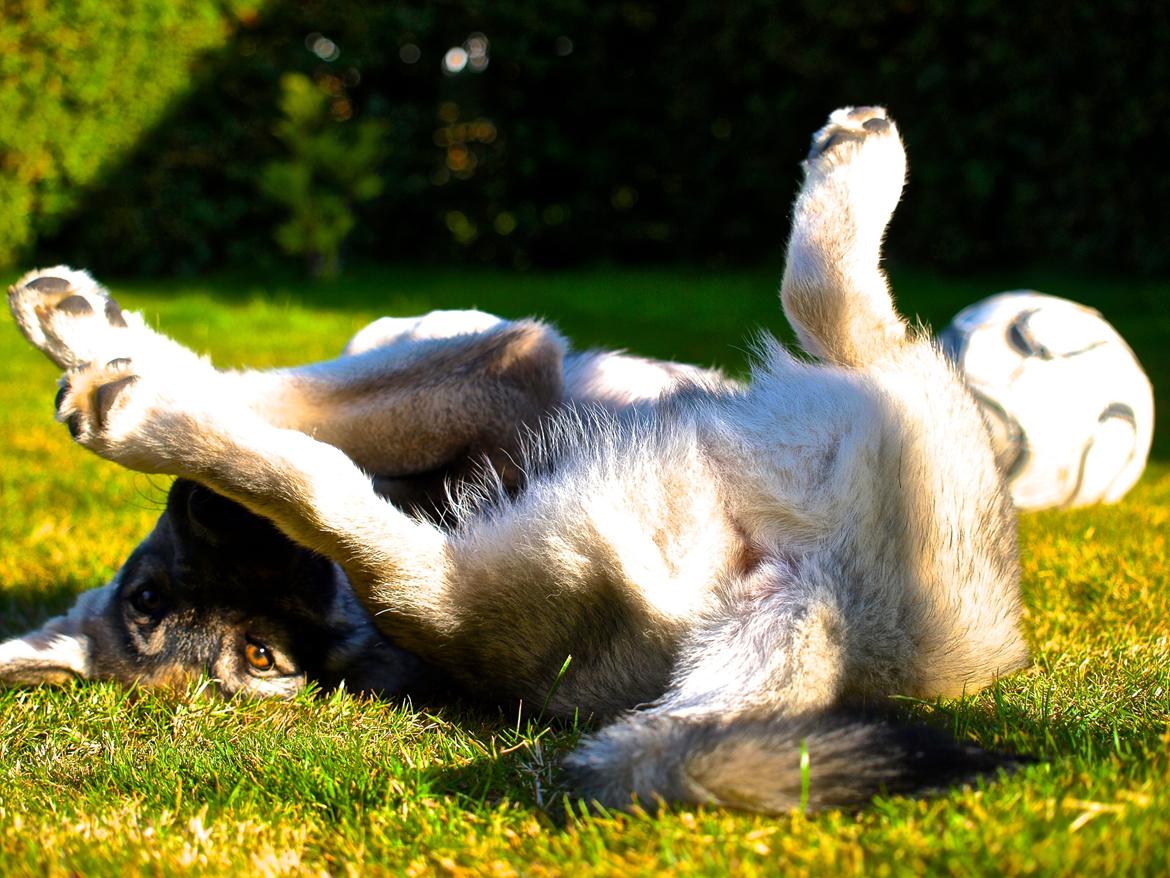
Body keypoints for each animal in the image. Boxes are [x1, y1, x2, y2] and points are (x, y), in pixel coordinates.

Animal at [2, 108, 1030, 812]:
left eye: (149, 596)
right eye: (262, 655)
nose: (204, 511)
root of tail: (841, 620)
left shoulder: (483, 363)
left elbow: (300, 376)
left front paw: (81, 323)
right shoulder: (508, 360)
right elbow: (294, 399)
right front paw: (116, 364)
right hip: (868, 398)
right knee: (832, 302)